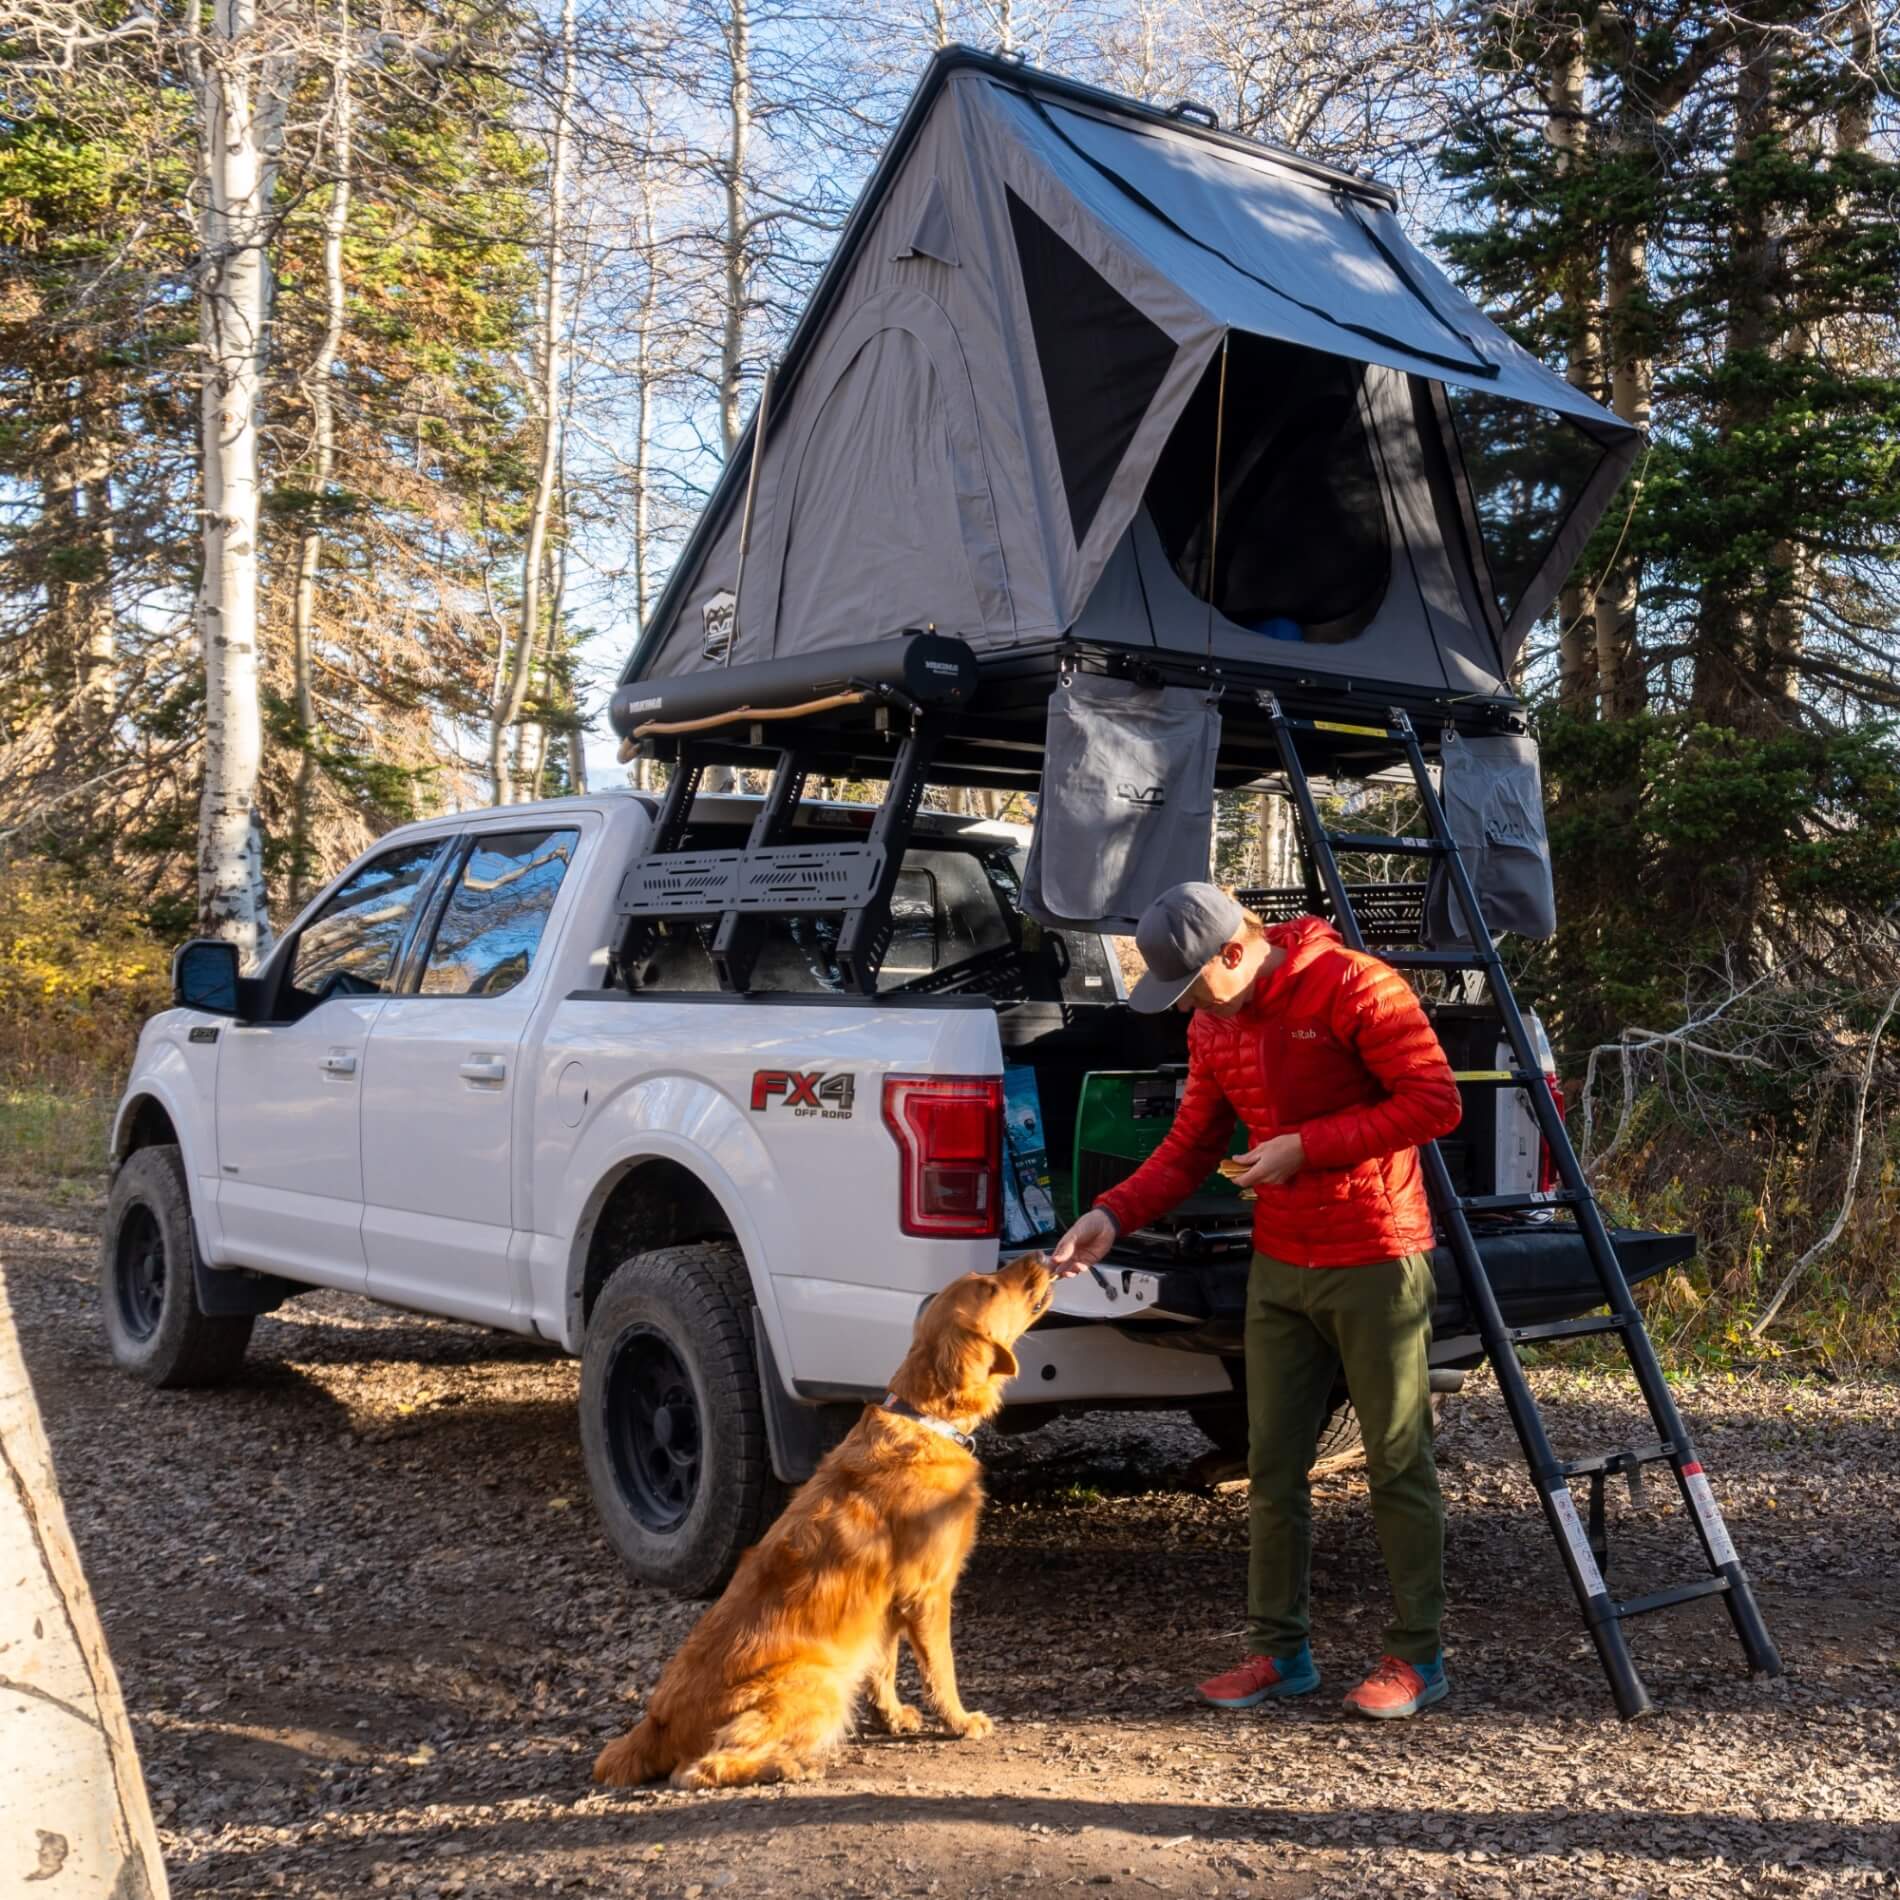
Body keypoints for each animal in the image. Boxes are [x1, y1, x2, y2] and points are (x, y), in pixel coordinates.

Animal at [592, 1254, 1056, 1786]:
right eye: (991, 1287)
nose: (1042, 1256)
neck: (924, 1420)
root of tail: (657, 1722)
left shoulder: (885, 1603)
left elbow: (883, 1666)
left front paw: (892, 1716)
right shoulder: (927, 1593)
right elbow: (941, 1669)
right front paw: (959, 1720)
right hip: (817, 1683)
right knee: (701, 1769)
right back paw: (789, 1764)